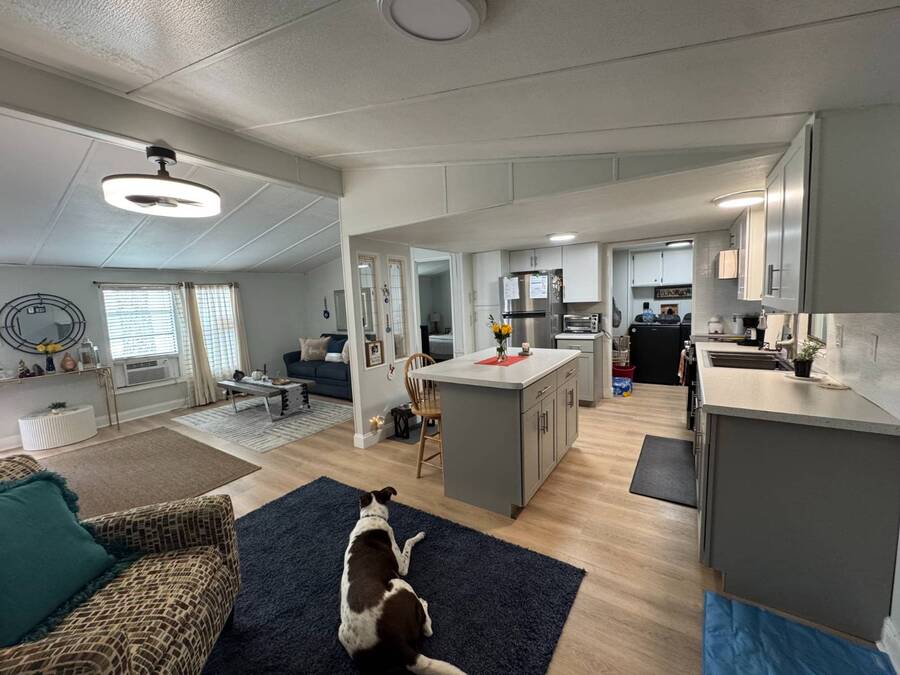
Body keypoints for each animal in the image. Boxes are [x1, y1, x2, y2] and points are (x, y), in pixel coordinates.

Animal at [339, 487, 465, 675]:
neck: (371, 516)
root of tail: (395, 645)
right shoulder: (401, 568)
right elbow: (408, 542)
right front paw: (419, 535)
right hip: (400, 583)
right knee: (427, 630)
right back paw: (423, 603)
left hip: (342, 632)